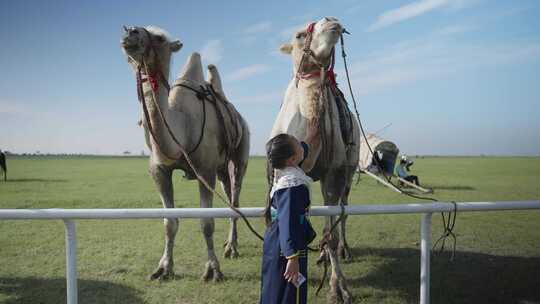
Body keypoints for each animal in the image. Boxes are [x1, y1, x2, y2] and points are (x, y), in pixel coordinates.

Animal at [121, 26, 250, 282]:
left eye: (159, 37)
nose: (130, 32)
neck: (182, 127)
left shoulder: (205, 170)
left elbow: (206, 222)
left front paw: (213, 270)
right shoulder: (159, 170)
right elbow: (169, 222)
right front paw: (163, 268)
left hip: (241, 154)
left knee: (235, 196)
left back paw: (232, 248)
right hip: (221, 168)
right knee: (228, 190)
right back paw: (229, 244)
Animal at [268, 17, 358, 302]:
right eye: (299, 35)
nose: (332, 21)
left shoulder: (333, 172)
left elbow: (331, 230)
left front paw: (338, 288)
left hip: (349, 170)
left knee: (343, 209)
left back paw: (342, 251)